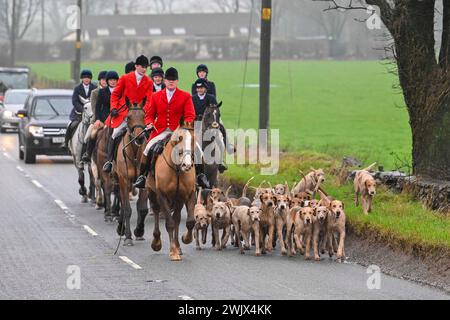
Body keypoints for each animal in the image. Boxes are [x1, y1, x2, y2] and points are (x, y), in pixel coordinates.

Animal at [146, 121, 197, 262]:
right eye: (178, 140)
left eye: (193, 140)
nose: (187, 165)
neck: (177, 169)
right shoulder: (162, 195)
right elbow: (169, 224)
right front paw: (173, 251)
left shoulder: (187, 195)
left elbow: (189, 222)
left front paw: (186, 239)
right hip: (152, 193)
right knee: (156, 211)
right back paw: (156, 242)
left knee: (177, 219)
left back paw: (178, 246)